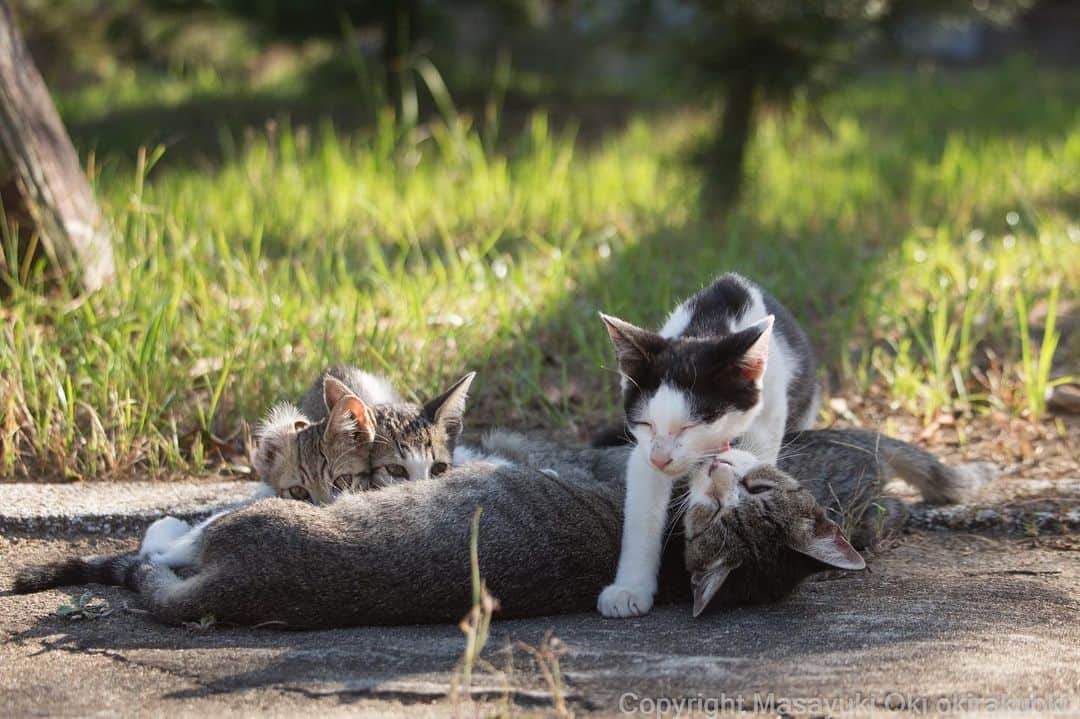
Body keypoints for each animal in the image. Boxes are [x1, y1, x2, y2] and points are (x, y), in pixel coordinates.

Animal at [596, 273, 812, 617]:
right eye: (646, 423)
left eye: (691, 426)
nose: (662, 459)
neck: (708, 328)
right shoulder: (644, 450)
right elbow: (643, 506)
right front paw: (630, 588)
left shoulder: (767, 414)